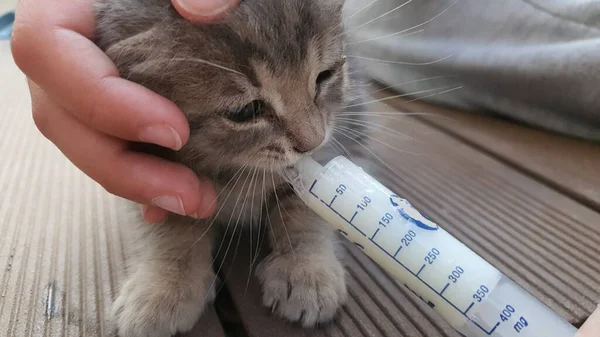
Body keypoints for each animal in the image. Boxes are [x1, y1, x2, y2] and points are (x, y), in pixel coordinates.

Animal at [95, 1, 366, 334]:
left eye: (325, 75)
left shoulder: (341, 138)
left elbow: (306, 209)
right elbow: (172, 226)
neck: (234, 165)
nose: (312, 142)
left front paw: (307, 271)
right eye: (246, 111)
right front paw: (162, 287)